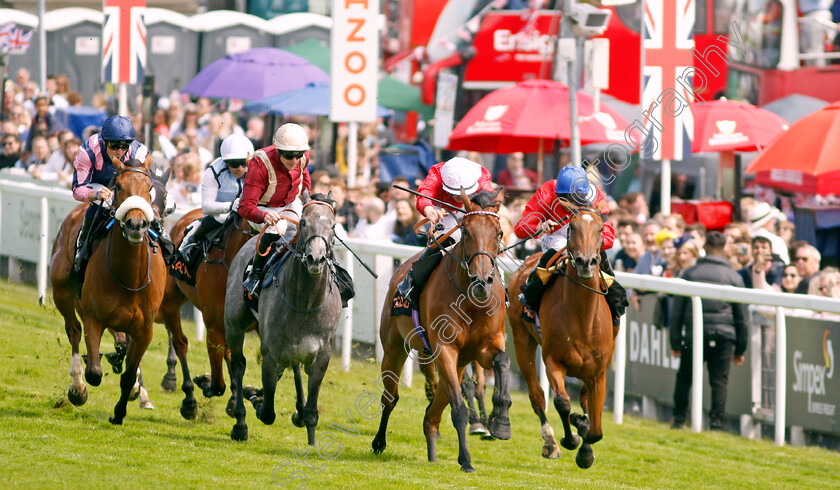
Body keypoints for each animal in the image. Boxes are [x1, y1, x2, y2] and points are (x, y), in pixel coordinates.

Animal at [50, 154, 167, 424]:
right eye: (120, 187)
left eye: (149, 188)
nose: (136, 224)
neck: (130, 278)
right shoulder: (93, 317)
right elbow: (94, 371)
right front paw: (83, 386)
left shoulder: (145, 330)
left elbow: (128, 374)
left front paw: (120, 412)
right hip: (61, 292)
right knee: (73, 330)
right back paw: (77, 387)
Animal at [154, 209, 253, 420]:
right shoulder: (214, 324)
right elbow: (217, 385)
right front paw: (205, 382)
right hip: (170, 304)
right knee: (180, 342)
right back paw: (188, 397)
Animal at [225, 190, 342, 444]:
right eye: (304, 222)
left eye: (333, 225)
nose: (315, 259)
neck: (305, 303)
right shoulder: (271, 353)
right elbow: (268, 412)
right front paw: (257, 402)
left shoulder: (321, 355)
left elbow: (311, 411)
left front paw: (309, 433)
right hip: (234, 324)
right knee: (238, 364)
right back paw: (240, 422)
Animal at [374, 189, 512, 472]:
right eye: (466, 231)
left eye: (499, 232)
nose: (481, 281)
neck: (471, 301)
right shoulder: (445, 348)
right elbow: (458, 408)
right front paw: (467, 460)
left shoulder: (485, 348)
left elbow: (503, 361)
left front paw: (501, 423)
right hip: (394, 348)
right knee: (390, 398)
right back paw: (379, 442)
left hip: (458, 364)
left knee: (433, 411)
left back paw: (432, 450)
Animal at [506, 205, 616, 468]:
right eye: (572, 227)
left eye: (601, 229)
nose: (586, 262)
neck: (582, 317)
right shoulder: (553, 360)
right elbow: (562, 402)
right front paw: (571, 439)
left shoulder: (598, 373)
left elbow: (595, 428)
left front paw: (585, 444)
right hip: (521, 340)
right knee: (537, 396)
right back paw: (550, 442)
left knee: (584, 400)